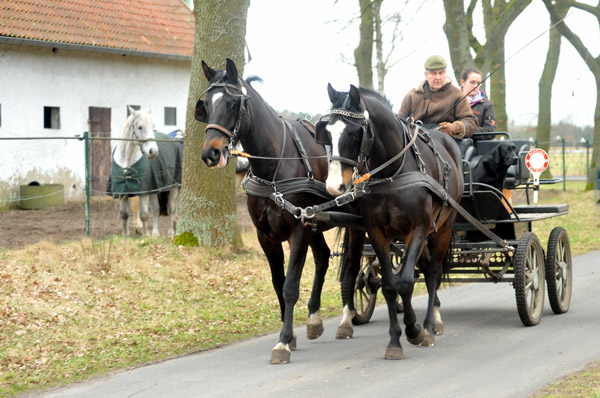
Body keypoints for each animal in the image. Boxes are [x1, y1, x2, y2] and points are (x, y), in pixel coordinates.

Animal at [109, 106, 182, 236]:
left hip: (173, 186)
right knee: (156, 209)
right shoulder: (122, 192)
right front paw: (125, 235)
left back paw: (170, 232)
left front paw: (146, 235)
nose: (153, 151)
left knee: (171, 208)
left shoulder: (144, 190)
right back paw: (156, 233)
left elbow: (144, 214)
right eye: (140, 127)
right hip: (155, 190)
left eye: (152, 126)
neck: (127, 161)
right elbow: (124, 214)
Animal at [196, 59, 360, 364]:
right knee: (322, 257)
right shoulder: (267, 236)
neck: (275, 166)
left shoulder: (297, 231)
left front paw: (283, 342)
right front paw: (291, 335)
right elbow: (277, 283)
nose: (210, 153)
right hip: (314, 222)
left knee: (352, 266)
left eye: (233, 104)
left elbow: (290, 287)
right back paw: (314, 318)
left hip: (355, 224)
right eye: (206, 105)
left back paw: (347, 319)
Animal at [314, 84, 464, 360]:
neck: (392, 174)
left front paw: (415, 330)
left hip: (444, 226)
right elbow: (390, 285)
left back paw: (431, 322)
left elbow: (405, 282)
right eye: (326, 133)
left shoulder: (418, 228)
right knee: (422, 267)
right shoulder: (377, 233)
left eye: (355, 133)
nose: (334, 186)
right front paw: (395, 340)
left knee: (434, 271)